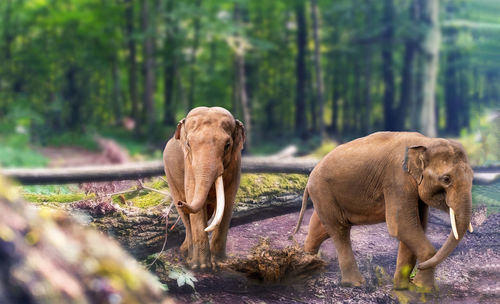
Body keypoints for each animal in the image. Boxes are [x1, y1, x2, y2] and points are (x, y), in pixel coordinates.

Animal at [163, 106, 245, 268]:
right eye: (188, 144)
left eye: (227, 145)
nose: (181, 203)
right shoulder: (189, 164)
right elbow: (192, 197)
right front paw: (201, 267)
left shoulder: (235, 164)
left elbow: (228, 202)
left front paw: (219, 263)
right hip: (170, 176)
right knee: (186, 217)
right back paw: (187, 255)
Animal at [294, 132, 474, 290]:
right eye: (446, 179)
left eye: (473, 177)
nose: (420, 268)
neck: (425, 141)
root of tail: (309, 177)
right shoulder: (397, 179)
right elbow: (401, 226)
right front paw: (424, 289)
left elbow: (416, 227)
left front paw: (403, 288)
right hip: (323, 190)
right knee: (340, 229)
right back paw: (355, 284)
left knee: (321, 228)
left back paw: (306, 265)